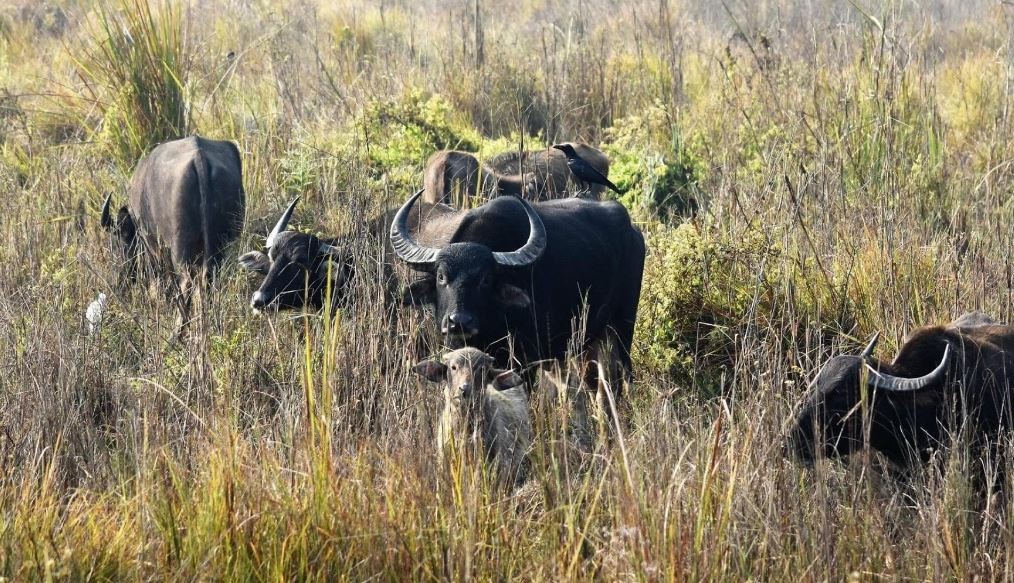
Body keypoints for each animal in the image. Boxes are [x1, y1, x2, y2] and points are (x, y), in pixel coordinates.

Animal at [99, 134, 246, 285]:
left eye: (122, 240)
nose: (124, 277)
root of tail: (199, 159)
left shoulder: (153, 246)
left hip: (180, 248)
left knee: (185, 279)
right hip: (222, 242)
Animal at [387, 190, 640, 383]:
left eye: (486, 279)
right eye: (441, 277)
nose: (459, 322)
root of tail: (633, 231)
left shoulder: (525, 362)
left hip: (622, 327)